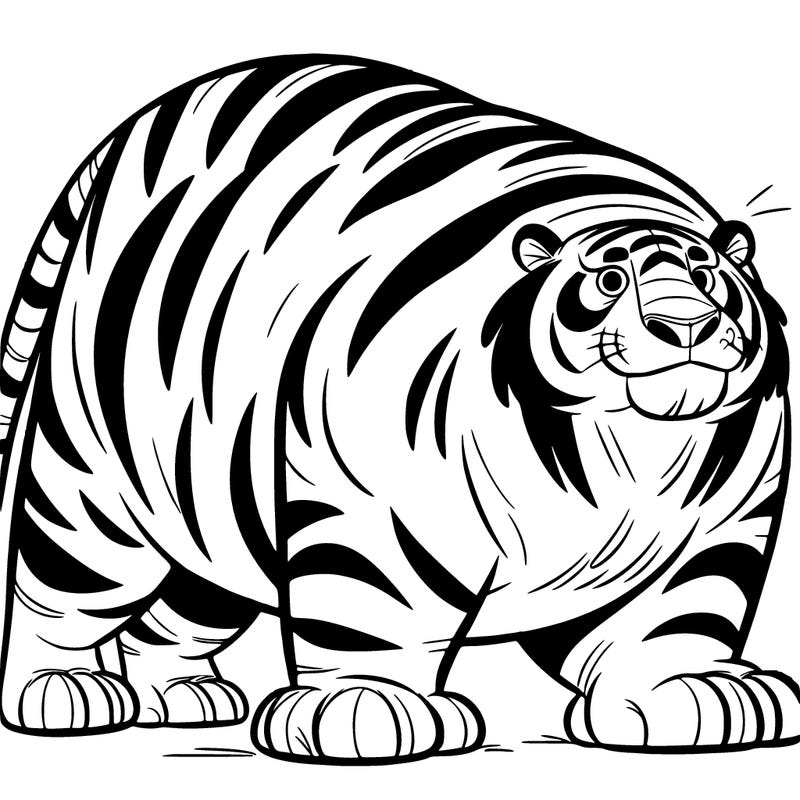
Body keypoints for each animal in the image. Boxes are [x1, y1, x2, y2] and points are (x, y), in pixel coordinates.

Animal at [0, 54, 796, 763]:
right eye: (610, 280)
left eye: (707, 277)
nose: (683, 324)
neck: (628, 448)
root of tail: (140, 122)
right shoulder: (380, 504)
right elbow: (372, 612)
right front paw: (363, 708)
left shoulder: (716, 531)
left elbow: (674, 617)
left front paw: (693, 691)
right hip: (91, 481)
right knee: (56, 589)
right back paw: (60, 692)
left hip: (208, 506)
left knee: (180, 611)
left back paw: (187, 696)